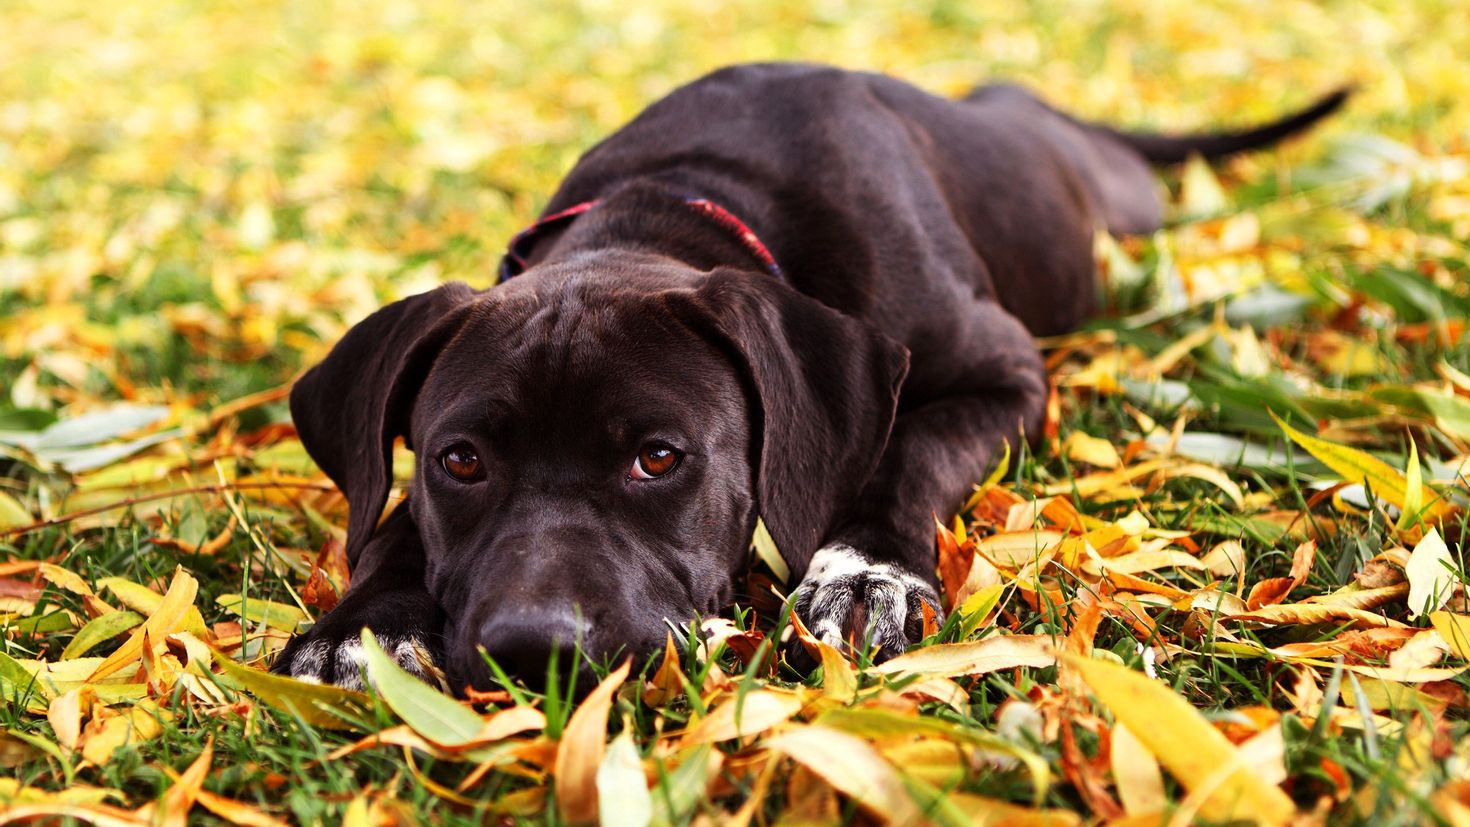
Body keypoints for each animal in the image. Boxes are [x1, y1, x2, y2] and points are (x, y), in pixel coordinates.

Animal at [276, 61, 1346, 693]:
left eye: (659, 457)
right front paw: (358, 628)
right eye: (459, 461)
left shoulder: (1005, 371)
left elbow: (906, 448)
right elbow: (392, 525)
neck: (677, 200)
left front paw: (864, 569)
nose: (534, 650)